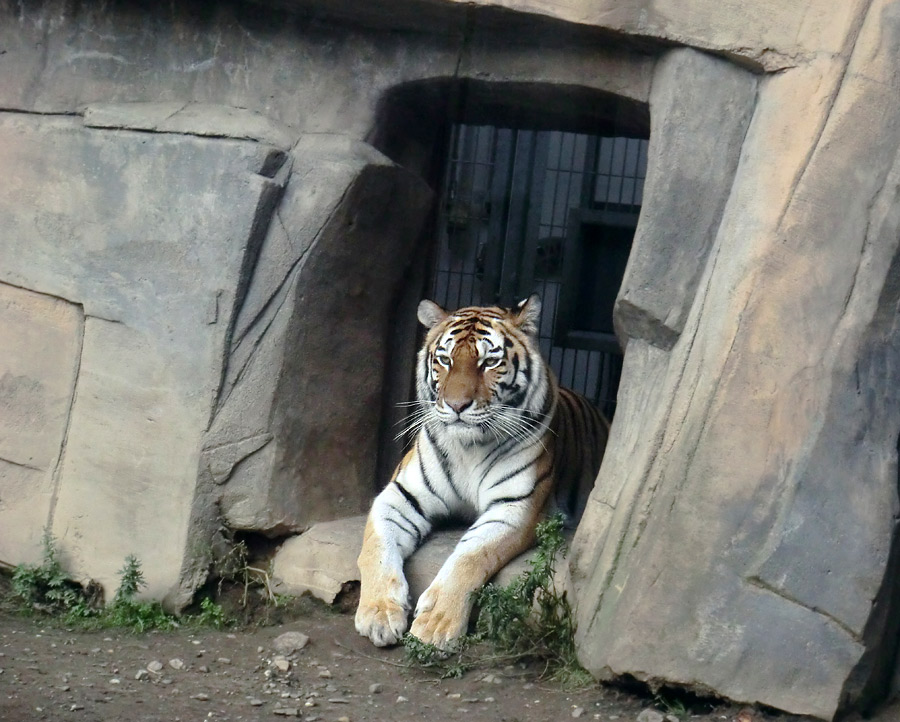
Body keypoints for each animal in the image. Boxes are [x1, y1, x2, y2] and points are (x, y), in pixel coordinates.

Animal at [356, 292, 608, 648]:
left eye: (489, 362)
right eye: (445, 360)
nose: (456, 405)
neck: (469, 449)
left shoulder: (514, 507)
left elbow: (470, 556)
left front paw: (436, 625)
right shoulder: (400, 496)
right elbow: (376, 548)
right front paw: (379, 613)